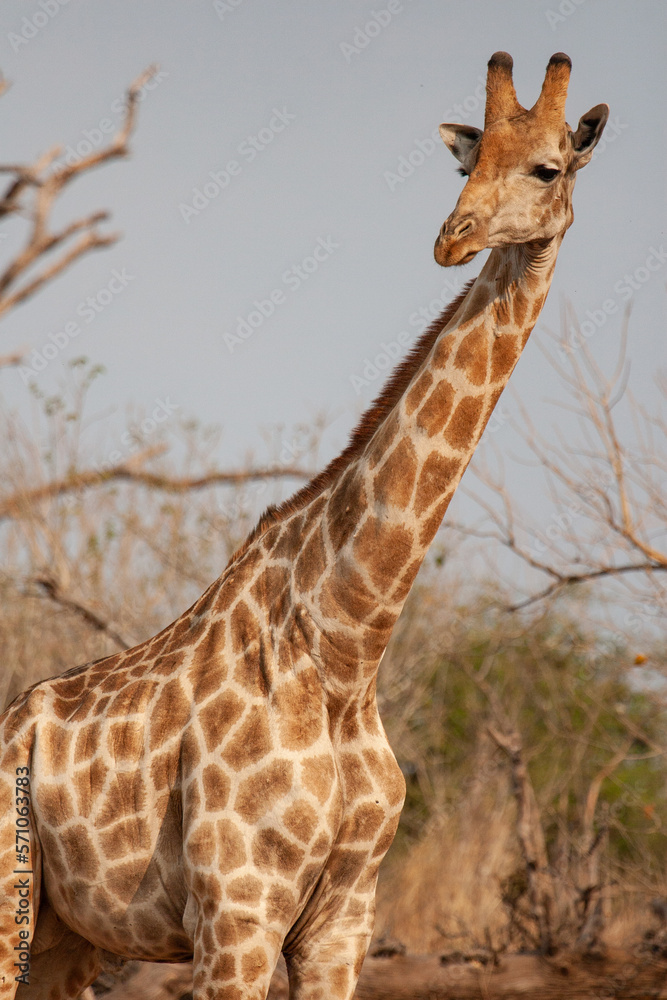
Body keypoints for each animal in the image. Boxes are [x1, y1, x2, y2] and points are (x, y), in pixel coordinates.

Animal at [0, 52, 604, 1000]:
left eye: (547, 167)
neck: (345, 648)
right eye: (465, 164)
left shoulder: (342, 920)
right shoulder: (236, 915)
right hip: (11, 903)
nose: (453, 238)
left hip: (69, 935)